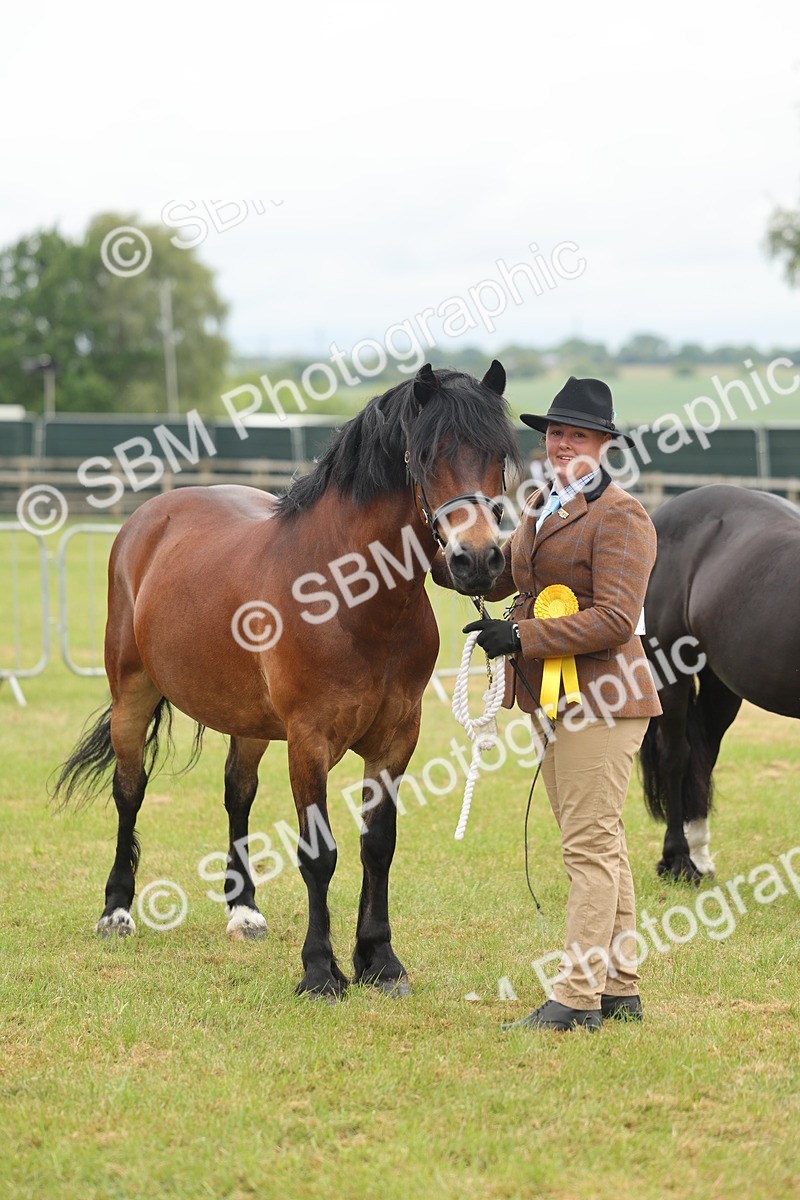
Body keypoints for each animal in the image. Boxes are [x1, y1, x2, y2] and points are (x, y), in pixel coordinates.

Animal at [52, 361, 522, 998]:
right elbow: (318, 855)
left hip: (249, 722)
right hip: (131, 692)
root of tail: (150, 518)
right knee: (130, 790)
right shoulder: (309, 740)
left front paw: (380, 961)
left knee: (237, 793)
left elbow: (379, 845)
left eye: (498, 456)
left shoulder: (398, 737)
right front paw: (321, 971)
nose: (480, 561)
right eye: (426, 457)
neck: (350, 596)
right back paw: (117, 911)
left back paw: (244, 910)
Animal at [639, 484, 800, 882]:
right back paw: (679, 860)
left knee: (704, 753)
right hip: (669, 669)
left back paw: (699, 854)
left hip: (720, 683)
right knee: (676, 755)